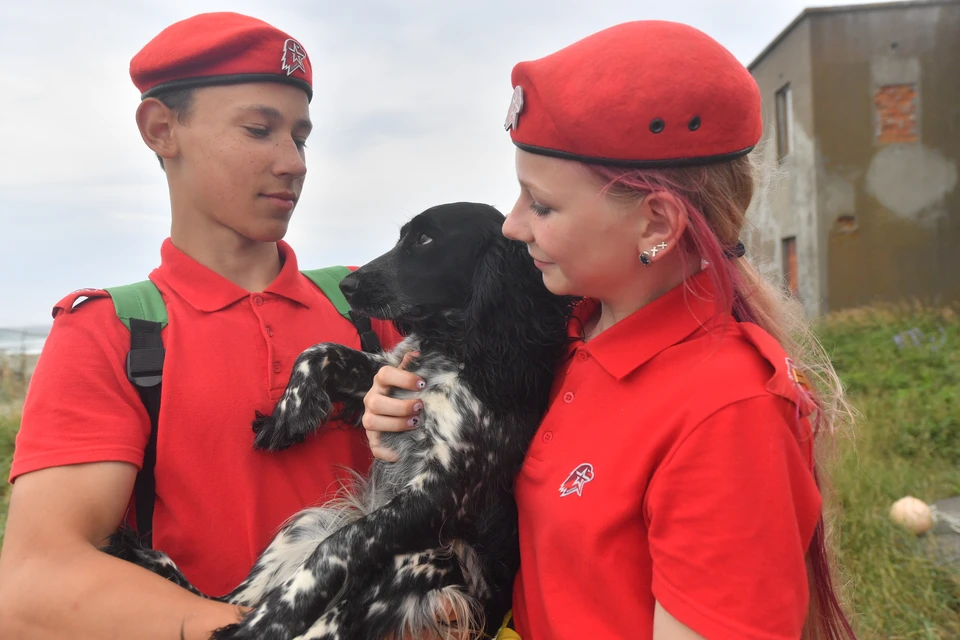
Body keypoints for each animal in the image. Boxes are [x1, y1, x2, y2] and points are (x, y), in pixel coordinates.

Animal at [107, 202, 568, 636]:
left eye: (425, 240)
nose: (348, 285)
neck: (457, 349)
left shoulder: (445, 489)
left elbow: (335, 548)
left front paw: (276, 618)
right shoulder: (387, 374)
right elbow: (320, 351)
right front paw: (286, 419)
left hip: (421, 558)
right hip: (305, 524)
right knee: (227, 599)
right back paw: (148, 558)